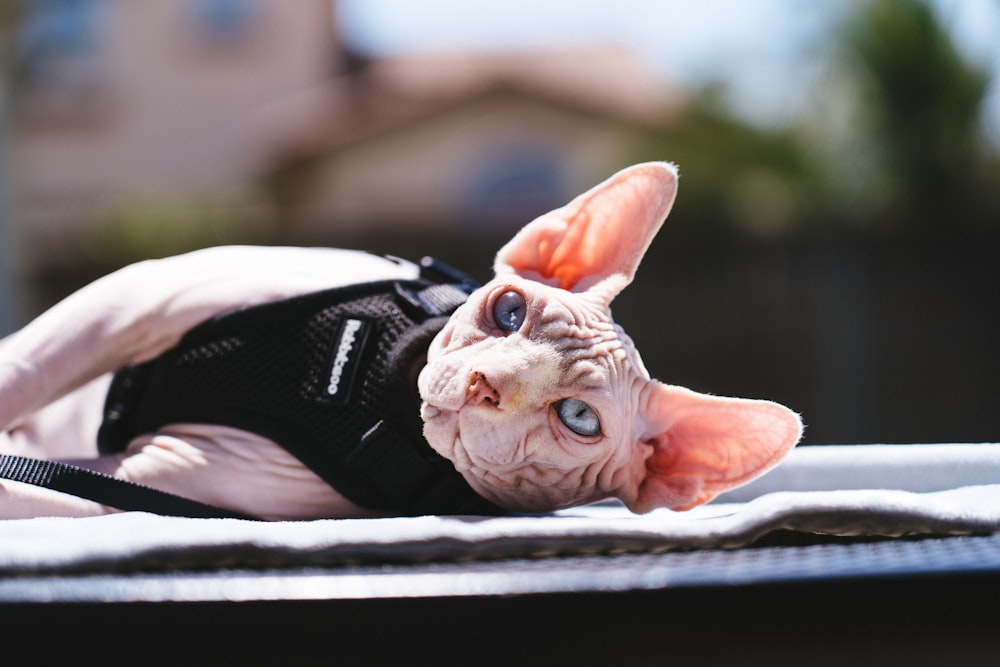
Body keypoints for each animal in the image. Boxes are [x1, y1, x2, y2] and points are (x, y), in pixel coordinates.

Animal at [0, 163, 800, 520]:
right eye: (511, 311)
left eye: (578, 418)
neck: (367, 391)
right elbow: (23, 365)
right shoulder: (141, 294)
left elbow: (40, 487)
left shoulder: (164, 481)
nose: (485, 384)